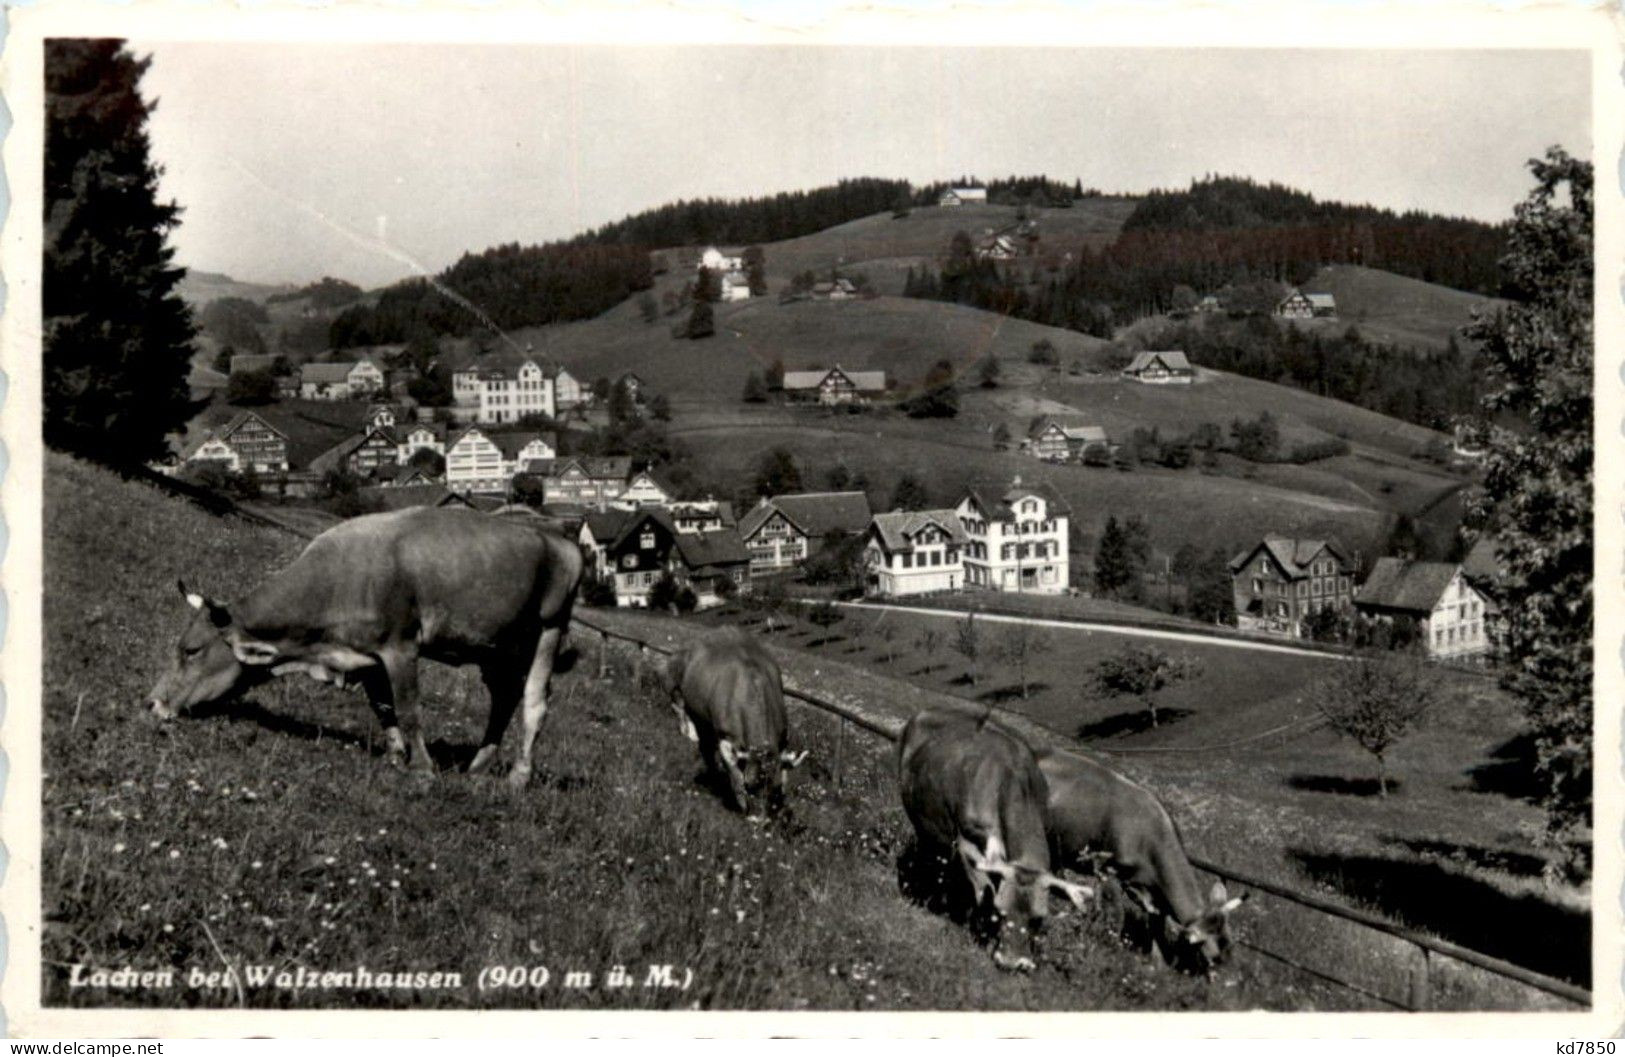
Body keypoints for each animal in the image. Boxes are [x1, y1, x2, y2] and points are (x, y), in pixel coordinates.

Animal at [147, 507, 585, 787]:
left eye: (191, 650)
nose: (152, 702)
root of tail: (559, 536)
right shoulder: (367, 654)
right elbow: (383, 707)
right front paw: (395, 755)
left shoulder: (400, 647)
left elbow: (408, 709)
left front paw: (421, 769)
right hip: (495, 646)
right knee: (504, 696)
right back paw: (478, 765)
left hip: (549, 627)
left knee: (534, 703)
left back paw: (519, 776)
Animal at [659, 624, 806, 816]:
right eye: (748, 785)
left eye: (773, 788)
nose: (758, 819)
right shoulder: (725, 738)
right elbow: (735, 775)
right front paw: (741, 806)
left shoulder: (782, 738)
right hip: (682, 695)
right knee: (690, 724)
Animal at [1033, 744, 1248, 969]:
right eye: (1213, 957)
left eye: (1230, 944)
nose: (1228, 975)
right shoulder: (1109, 869)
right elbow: (1117, 913)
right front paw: (1111, 945)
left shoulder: (1152, 891)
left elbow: (1156, 924)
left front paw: (1157, 961)